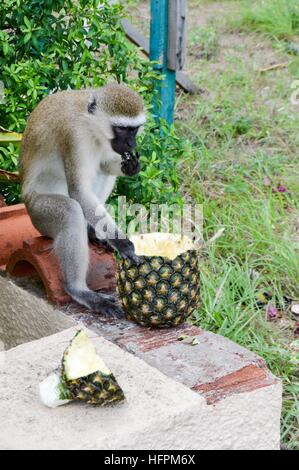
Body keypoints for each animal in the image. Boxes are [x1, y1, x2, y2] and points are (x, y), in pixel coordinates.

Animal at [19, 83, 146, 318]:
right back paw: (78, 290)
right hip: (38, 214)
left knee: (102, 172)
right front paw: (121, 242)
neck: (91, 123)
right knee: (71, 211)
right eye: (121, 129)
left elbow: (104, 165)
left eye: (133, 129)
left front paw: (131, 167)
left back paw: (91, 230)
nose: (131, 143)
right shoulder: (75, 137)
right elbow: (78, 191)